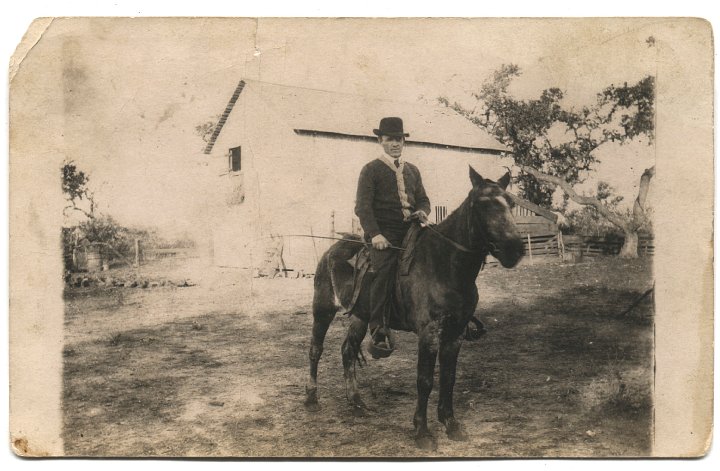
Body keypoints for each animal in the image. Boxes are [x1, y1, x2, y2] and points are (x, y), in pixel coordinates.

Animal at [304, 168, 524, 452]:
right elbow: (425, 380)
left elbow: (449, 377)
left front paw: (451, 424)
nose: (514, 250)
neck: (445, 265)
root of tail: (332, 249)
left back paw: (356, 402)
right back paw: (311, 398)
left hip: (361, 317)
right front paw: (422, 431)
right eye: (482, 204)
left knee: (348, 351)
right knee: (315, 350)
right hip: (322, 309)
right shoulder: (429, 334)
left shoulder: (455, 333)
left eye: (510, 203)